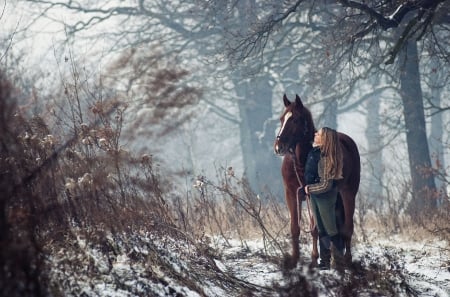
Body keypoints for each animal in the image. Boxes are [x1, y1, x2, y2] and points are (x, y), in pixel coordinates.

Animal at [272, 93, 360, 268]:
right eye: (281, 119)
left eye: (295, 120)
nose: (279, 147)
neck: (302, 161)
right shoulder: (291, 194)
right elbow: (295, 228)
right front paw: (295, 260)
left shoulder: (312, 195)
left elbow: (315, 229)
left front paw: (314, 259)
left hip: (348, 193)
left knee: (347, 228)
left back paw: (346, 261)